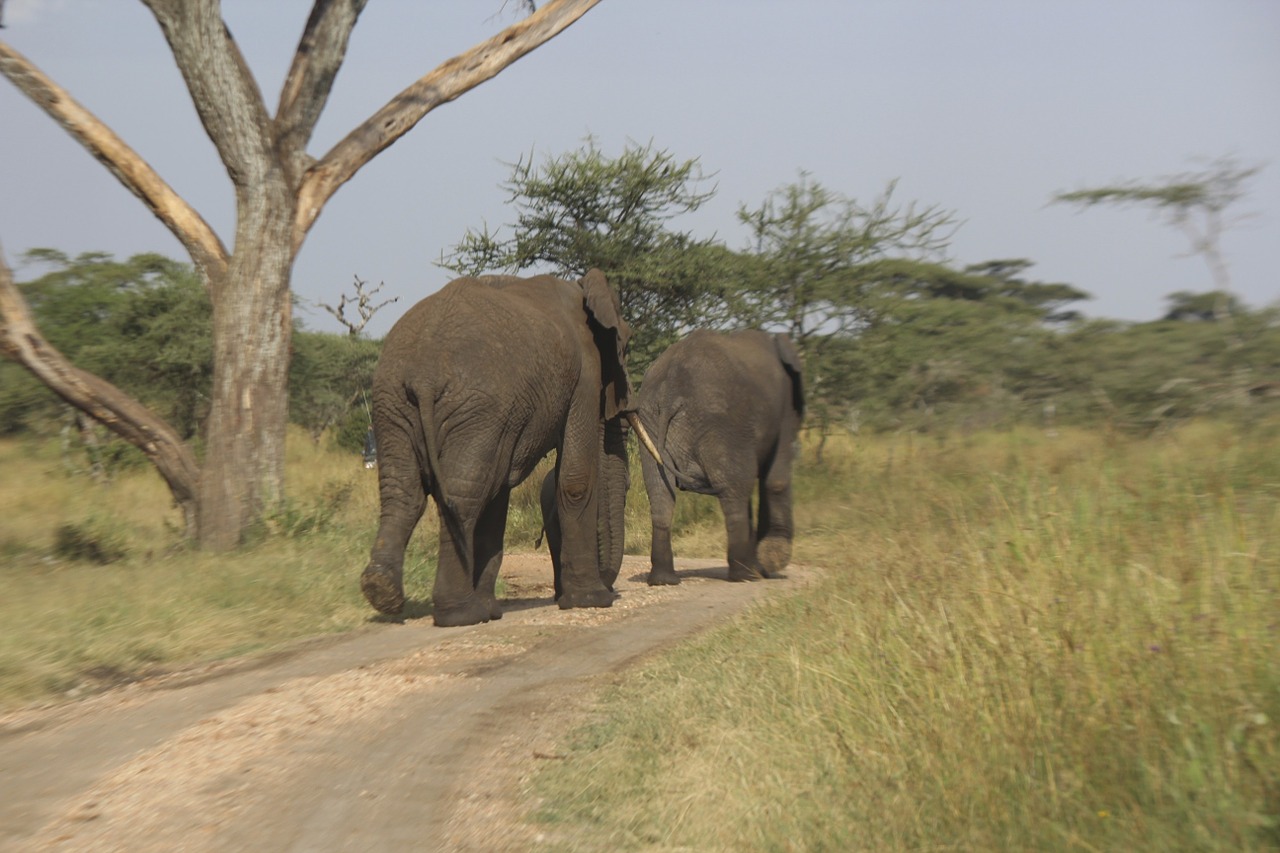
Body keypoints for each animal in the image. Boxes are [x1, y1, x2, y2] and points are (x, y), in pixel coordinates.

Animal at [363, 268, 632, 627]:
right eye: (625, 345)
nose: (611, 588)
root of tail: (424, 374)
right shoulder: (585, 375)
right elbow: (575, 479)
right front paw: (592, 601)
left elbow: (498, 493)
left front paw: (492, 610)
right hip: (476, 405)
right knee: (463, 495)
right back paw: (460, 614)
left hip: (393, 403)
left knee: (406, 492)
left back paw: (381, 591)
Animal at [634, 326, 803, 584]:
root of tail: (672, 386)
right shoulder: (784, 408)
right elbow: (776, 479)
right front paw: (770, 563)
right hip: (722, 424)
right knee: (735, 492)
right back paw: (744, 576)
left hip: (650, 419)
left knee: (661, 493)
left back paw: (664, 579)